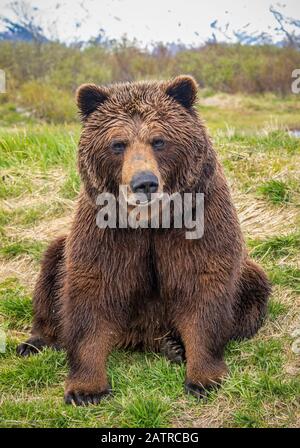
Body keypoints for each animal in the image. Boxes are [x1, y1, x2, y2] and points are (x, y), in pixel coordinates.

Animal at [16, 76, 270, 406]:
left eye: (158, 140)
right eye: (118, 143)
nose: (144, 183)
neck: (151, 221)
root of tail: (142, 336)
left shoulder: (198, 218)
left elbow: (203, 285)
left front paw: (204, 377)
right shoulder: (107, 231)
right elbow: (93, 289)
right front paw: (86, 389)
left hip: (247, 278)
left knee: (253, 287)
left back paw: (174, 345)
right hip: (63, 253)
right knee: (51, 268)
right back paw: (35, 341)